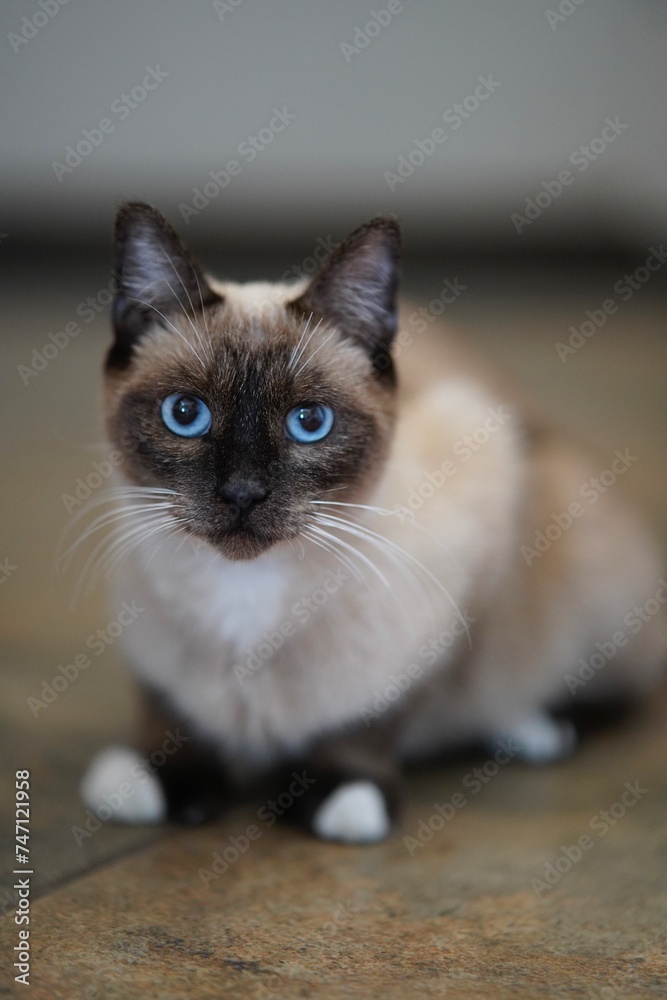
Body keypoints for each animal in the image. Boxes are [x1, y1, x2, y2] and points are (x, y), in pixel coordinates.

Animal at [77, 203, 664, 844]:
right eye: (185, 414)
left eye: (310, 422)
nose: (242, 493)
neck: (244, 599)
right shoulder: (149, 643)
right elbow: (167, 706)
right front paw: (159, 779)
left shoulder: (464, 572)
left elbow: (383, 711)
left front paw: (341, 795)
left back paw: (535, 728)